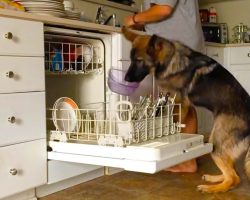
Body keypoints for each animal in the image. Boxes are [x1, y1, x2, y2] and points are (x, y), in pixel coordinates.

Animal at [122, 26, 250, 192]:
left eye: (139, 61)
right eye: (131, 60)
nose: (125, 79)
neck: (170, 59)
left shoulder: (181, 103)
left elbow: (176, 121)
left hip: (216, 141)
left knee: (234, 178)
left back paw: (211, 189)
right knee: (233, 172)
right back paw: (215, 179)